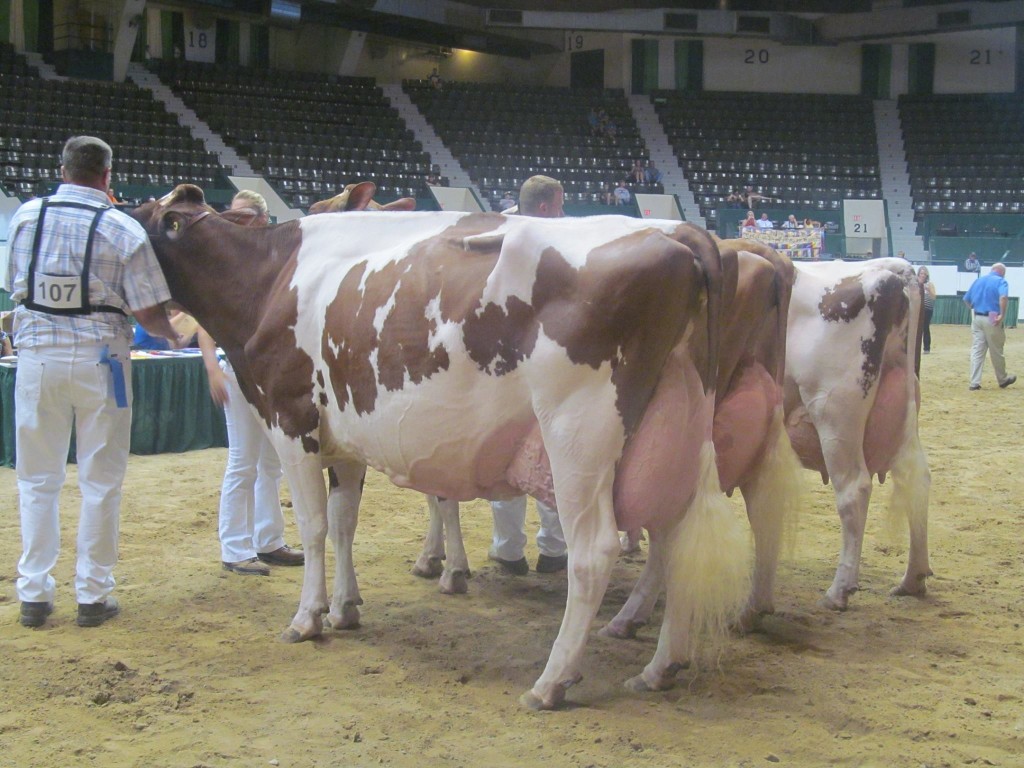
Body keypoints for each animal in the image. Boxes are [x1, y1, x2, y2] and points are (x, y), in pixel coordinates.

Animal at [130, 185, 752, 710]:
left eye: (142, 216)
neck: (270, 278)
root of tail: (678, 233)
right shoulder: (345, 437)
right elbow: (344, 521)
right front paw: (346, 607)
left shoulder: (291, 420)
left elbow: (313, 524)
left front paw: (308, 617)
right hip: (678, 429)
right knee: (677, 539)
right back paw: (660, 666)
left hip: (579, 429)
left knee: (594, 549)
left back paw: (551, 681)